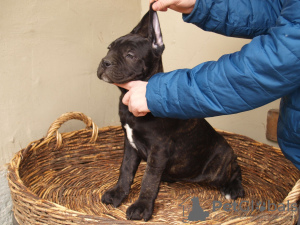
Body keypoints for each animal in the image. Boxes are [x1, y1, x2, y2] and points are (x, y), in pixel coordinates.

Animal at [97, 5, 245, 221]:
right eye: (109, 48)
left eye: (130, 55)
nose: (105, 62)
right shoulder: (130, 144)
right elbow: (125, 170)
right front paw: (118, 193)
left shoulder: (158, 149)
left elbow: (149, 180)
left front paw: (142, 206)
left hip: (219, 165)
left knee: (235, 169)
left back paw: (234, 188)